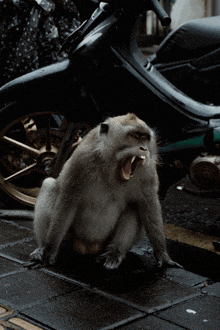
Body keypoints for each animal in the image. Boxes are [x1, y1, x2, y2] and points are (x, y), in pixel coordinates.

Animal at [29, 112, 180, 270]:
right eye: (134, 136)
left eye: (145, 137)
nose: (144, 148)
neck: (111, 164)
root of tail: (88, 247)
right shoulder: (80, 162)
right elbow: (67, 200)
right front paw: (49, 251)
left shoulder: (148, 170)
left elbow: (148, 204)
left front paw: (163, 255)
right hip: (69, 237)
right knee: (49, 185)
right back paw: (44, 248)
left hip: (106, 243)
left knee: (134, 207)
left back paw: (114, 254)